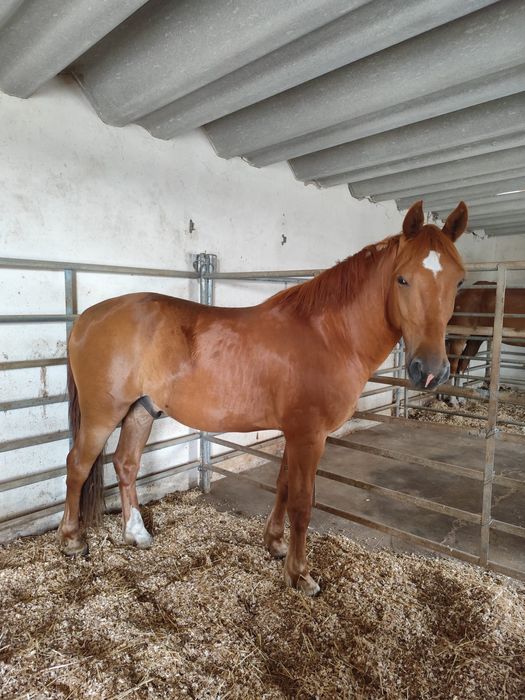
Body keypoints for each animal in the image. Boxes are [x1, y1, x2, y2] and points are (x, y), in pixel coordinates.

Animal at [59, 200, 467, 596]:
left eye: (459, 281)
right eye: (402, 278)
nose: (430, 370)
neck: (328, 335)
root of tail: (88, 317)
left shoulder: (294, 433)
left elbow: (283, 487)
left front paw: (275, 545)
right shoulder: (309, 435)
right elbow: (302, 502)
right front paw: (300, 575)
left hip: (142, 409)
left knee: (126, 463)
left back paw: (136, 533)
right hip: (103, 413)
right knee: (77, 464)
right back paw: (73, 540)